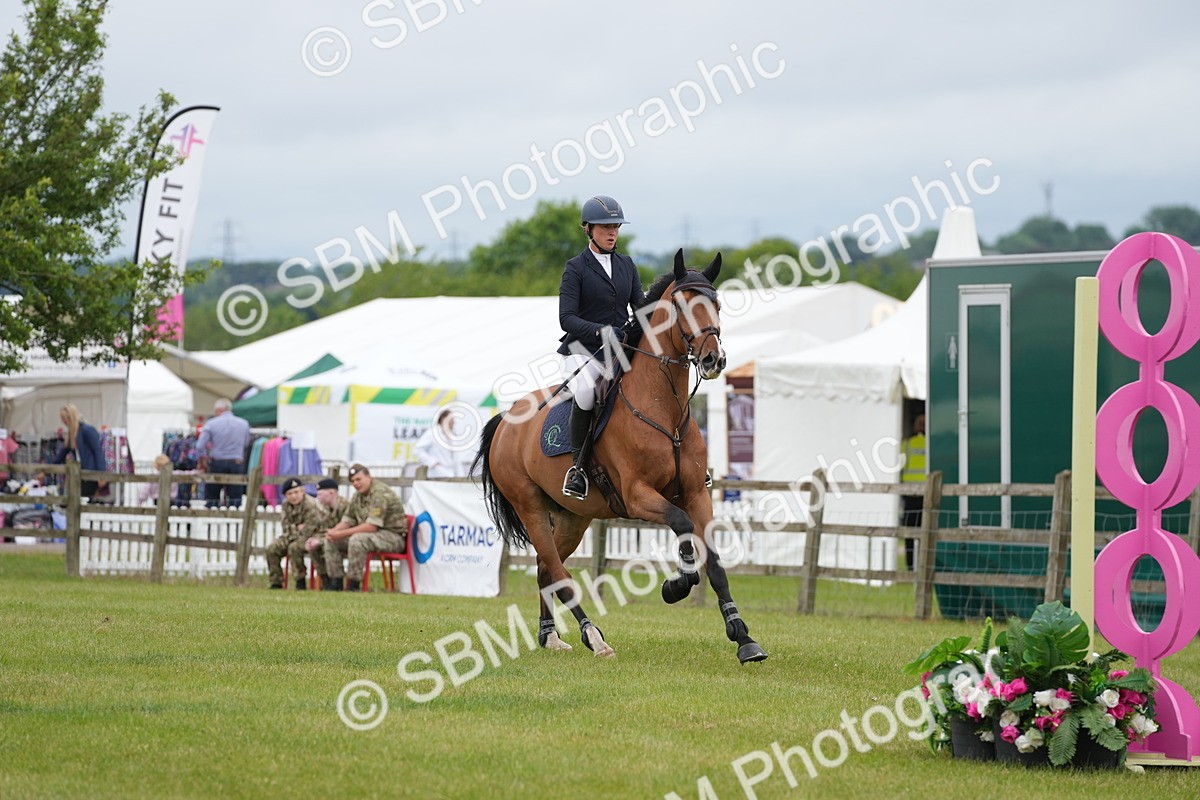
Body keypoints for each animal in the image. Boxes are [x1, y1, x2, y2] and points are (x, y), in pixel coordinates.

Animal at [472, 249, 768, 664]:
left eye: (717, 304)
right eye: (681, 306)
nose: (714, 360)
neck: (666, 411)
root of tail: (504, 420)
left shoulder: (697, 493)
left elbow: (716, 564)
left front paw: (744, 638)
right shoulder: (638, 495)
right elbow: (681, 526)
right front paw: (676, 585)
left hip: (572, 517)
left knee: (546, 567)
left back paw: (551, 637)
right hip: (529, 505)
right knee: (559, 573)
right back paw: (594, 637)